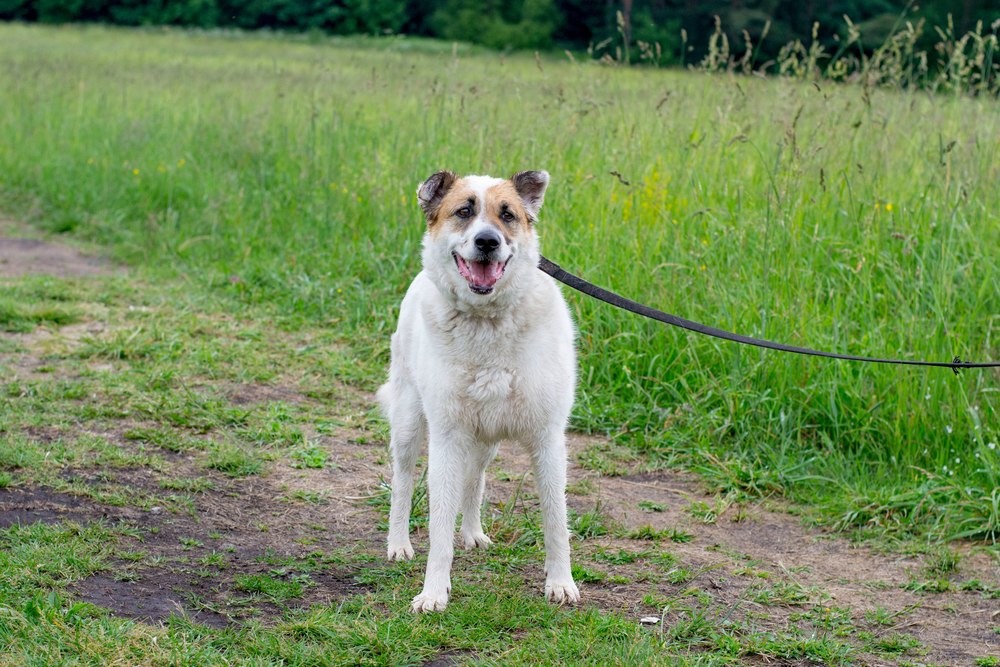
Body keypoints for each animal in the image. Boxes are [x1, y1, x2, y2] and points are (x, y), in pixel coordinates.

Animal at [376, 170, 580, 612]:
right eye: (463, 211)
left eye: (508, 215)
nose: (488, 241)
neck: (488, 322)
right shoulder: (447, 438)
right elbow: (438, 525)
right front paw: (434, 591)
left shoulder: (548, 440)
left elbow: (556, 521)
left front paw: (560, 582)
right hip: (409, 423)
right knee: (403, 482)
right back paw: (398, 543)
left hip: (486, 439)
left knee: (475, 480)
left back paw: (472, 533)